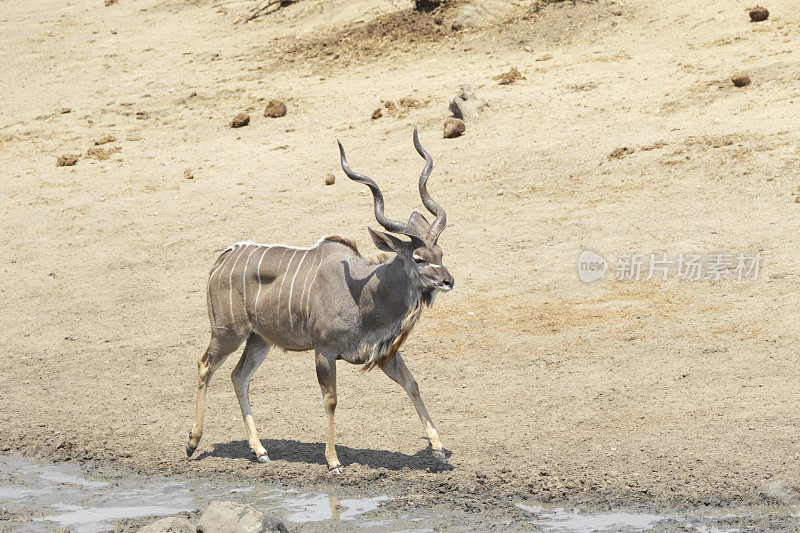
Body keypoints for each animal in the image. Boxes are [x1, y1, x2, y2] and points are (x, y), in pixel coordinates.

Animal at [184, 131, 454, 472]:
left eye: (440, 253)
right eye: (418, 258)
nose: (448, 281)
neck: (363, 293)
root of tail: (221, 261)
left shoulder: (384, 354)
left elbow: (412, 384)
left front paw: (438, 448)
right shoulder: (324, 351)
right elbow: (331, 399)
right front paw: (333, 460)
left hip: (259, 340)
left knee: (239, 376)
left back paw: (260, 451)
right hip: (228, 333)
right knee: (205, 365)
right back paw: (192, 443)